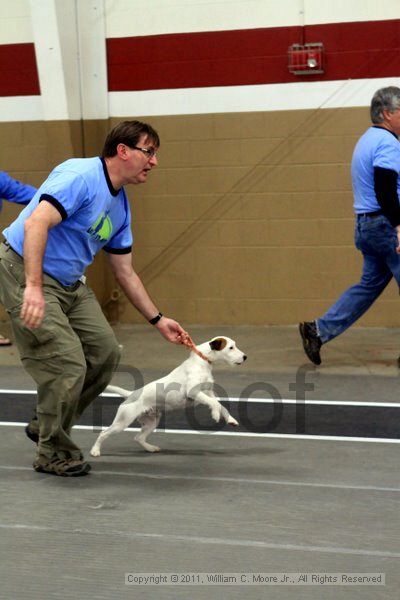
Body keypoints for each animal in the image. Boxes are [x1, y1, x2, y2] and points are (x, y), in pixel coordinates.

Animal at [91, 336, 247, 458]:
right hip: (122, 422)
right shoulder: (193, 392)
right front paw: (215, 415)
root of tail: (131, 394)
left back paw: (151, 448)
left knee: (138, 437)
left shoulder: (208, 393)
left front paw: (231, 419)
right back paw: (95, 451)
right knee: (103, 433)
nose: (245, 357)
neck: (202, 362)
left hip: (152, 422)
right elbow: (214, 404)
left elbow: (221, 406)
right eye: (231, 347)